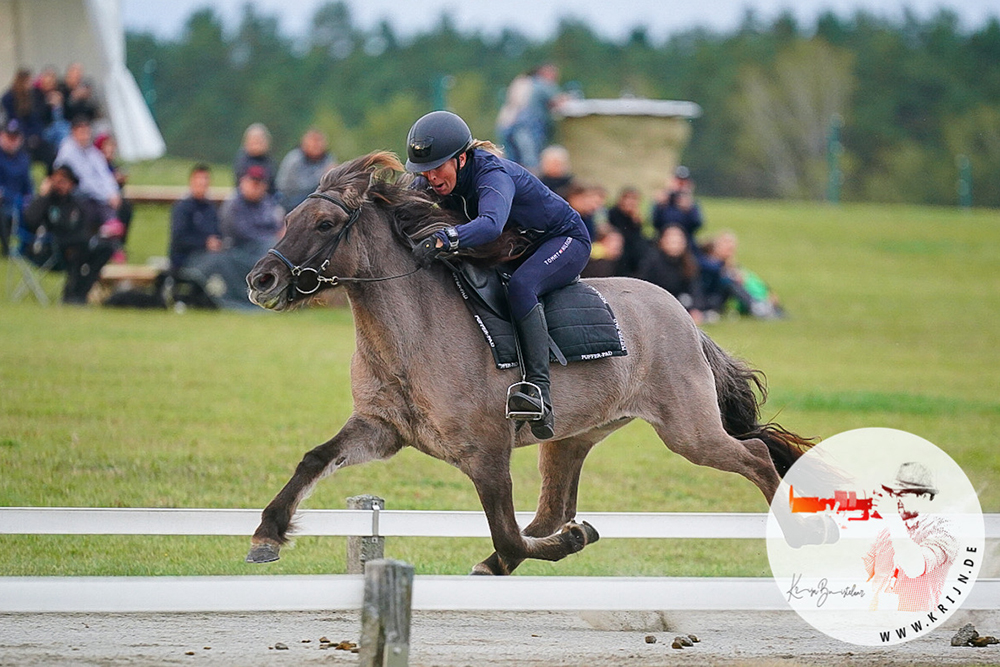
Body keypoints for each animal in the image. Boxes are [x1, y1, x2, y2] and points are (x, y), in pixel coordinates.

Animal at [244, 150, 812, 576]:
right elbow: (316, 459)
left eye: (325, 223)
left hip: (688, 431)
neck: (410, 336)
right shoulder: (381, 429)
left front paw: (572, 542)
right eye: (287, 219)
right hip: (571, 437)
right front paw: (266, 535)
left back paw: (794, 530)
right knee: (550, 511)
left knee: (756, 455)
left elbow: (510, 534)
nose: (260, 280)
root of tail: (683, 316)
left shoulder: (486, 454)